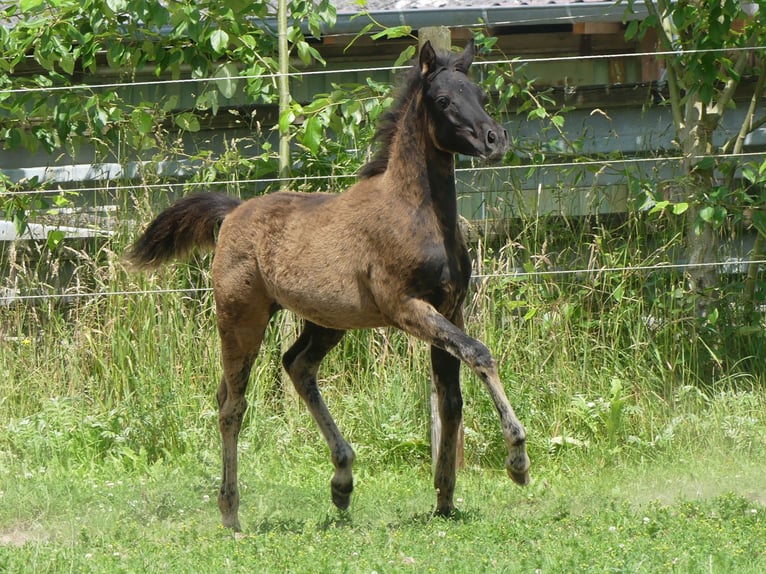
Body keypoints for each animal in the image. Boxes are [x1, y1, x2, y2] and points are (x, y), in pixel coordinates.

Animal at [127, 39, 530, 531]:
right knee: (232, 405)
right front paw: (518, 461)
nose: (495, 139)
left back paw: (341, 481)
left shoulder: (450, 307)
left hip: (328, 320)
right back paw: (232, 515)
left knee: (296, 365)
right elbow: (479, 354)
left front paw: (445, 498)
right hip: (241, 316)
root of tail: (234, 211)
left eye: (480, 93)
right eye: (442, 100)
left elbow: (451, 399)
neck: (418, 215)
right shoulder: (406, 308)